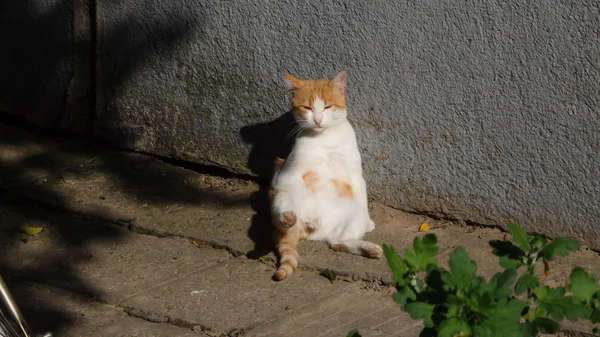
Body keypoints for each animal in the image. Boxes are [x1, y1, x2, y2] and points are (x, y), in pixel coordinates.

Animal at [270, 69, 382, 280]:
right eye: (307, 107)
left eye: (328, 106)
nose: (318, 119)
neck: (326, 139)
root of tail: (313, 234)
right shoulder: (287, 174)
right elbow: (306, 193)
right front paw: (313, 216)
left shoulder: (356, 173)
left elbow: (361, 193)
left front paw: (369, 223)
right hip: (280, 193)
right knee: (286, 215)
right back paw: (290, 218)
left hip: (354, 216)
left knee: (339, 242)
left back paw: (369, 248)